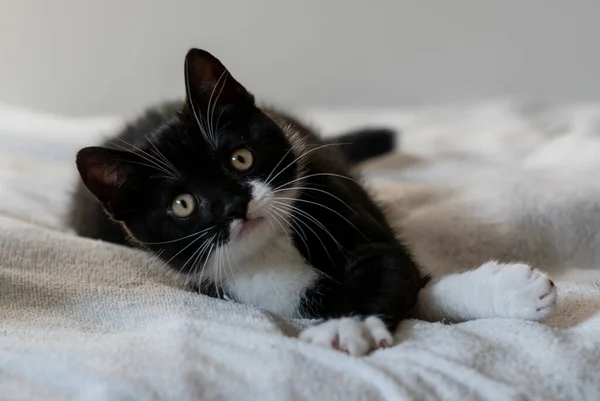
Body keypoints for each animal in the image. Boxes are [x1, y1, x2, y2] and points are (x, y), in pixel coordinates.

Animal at [68, 48, 556, 354]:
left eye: (240, 158)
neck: (273, 245)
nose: (233, 207)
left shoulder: (330, 196)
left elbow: (401, 272)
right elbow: (401, 291)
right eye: (183, 205)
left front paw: (506, 290)